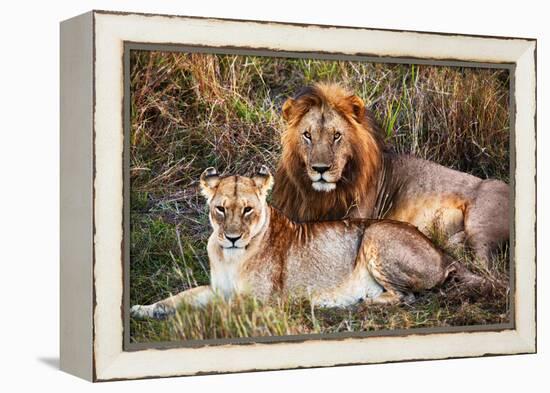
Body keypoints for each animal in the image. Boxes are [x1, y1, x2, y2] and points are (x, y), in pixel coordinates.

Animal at [130, 165, 488, 318]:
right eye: (220, 209)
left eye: (247, 209)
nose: (231, 237)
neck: (230, 256)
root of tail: (444, 254)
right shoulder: (217, 288)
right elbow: (179, 297)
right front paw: (144, 309)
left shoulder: (262, 301)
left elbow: (219, 309)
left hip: (374, 233)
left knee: (406, 296)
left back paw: (351, 302)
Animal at [274, 82, 512, 266]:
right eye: (307, 135)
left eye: (337, 136)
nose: (320, 169)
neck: (318, 195)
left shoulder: (356, 218)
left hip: (482, 220)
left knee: (484, 265)